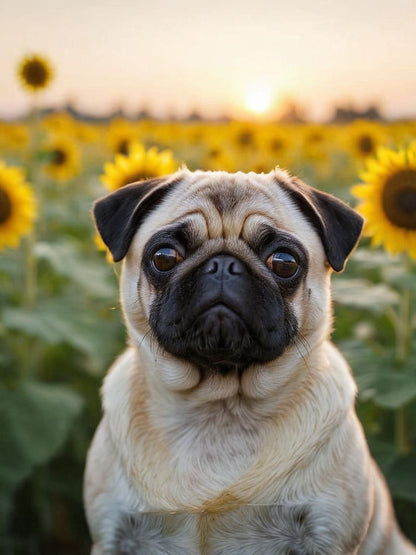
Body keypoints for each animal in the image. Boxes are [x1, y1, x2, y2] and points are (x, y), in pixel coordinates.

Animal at [83, 169, 414, 555]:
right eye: (164, 256)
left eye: (284, 262)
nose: (223, 265)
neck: (218, 410)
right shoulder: (113, 536)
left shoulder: (326, 537)